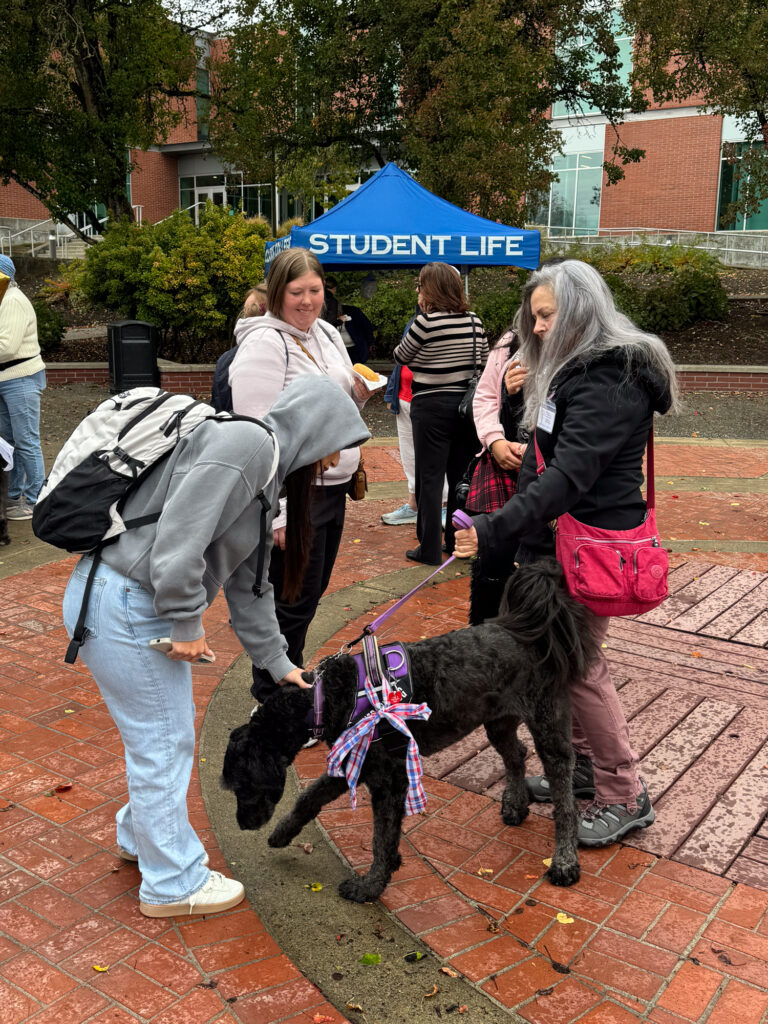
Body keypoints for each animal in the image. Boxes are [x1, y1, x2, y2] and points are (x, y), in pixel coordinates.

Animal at [222, 561, 602, 905]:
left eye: (243, 784)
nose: (242, 824)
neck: (330, 696)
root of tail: (531, 633)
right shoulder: (354, 761)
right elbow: (309, 798)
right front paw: (282, 833)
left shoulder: (388, 780)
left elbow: (381, 836)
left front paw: (370, 886)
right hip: (498, 721)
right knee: (517, 756)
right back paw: (515, 803)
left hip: (548, 727)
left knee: (564, 799)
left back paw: (564, 861)